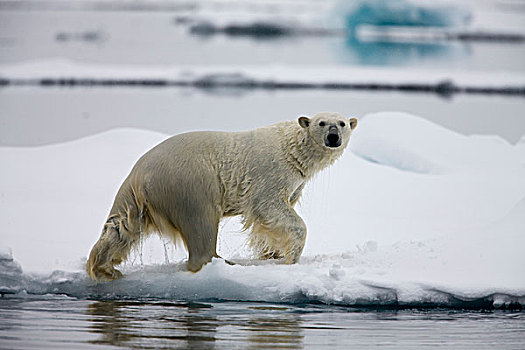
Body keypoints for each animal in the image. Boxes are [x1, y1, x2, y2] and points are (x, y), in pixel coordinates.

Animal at [86, 112, 356, 282]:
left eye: (342, 123)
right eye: (322, 123)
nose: (333, 137)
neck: (292, 149)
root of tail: (139, 174)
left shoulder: (295, 183)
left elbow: (271, 222)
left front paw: (271, 254)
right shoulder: (271, 172)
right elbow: (269, 207)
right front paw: (291, 256)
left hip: (144, 198)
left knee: (122, 227)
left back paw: (105, 268)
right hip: (190, 184)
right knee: (202, 223)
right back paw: (223, 263)